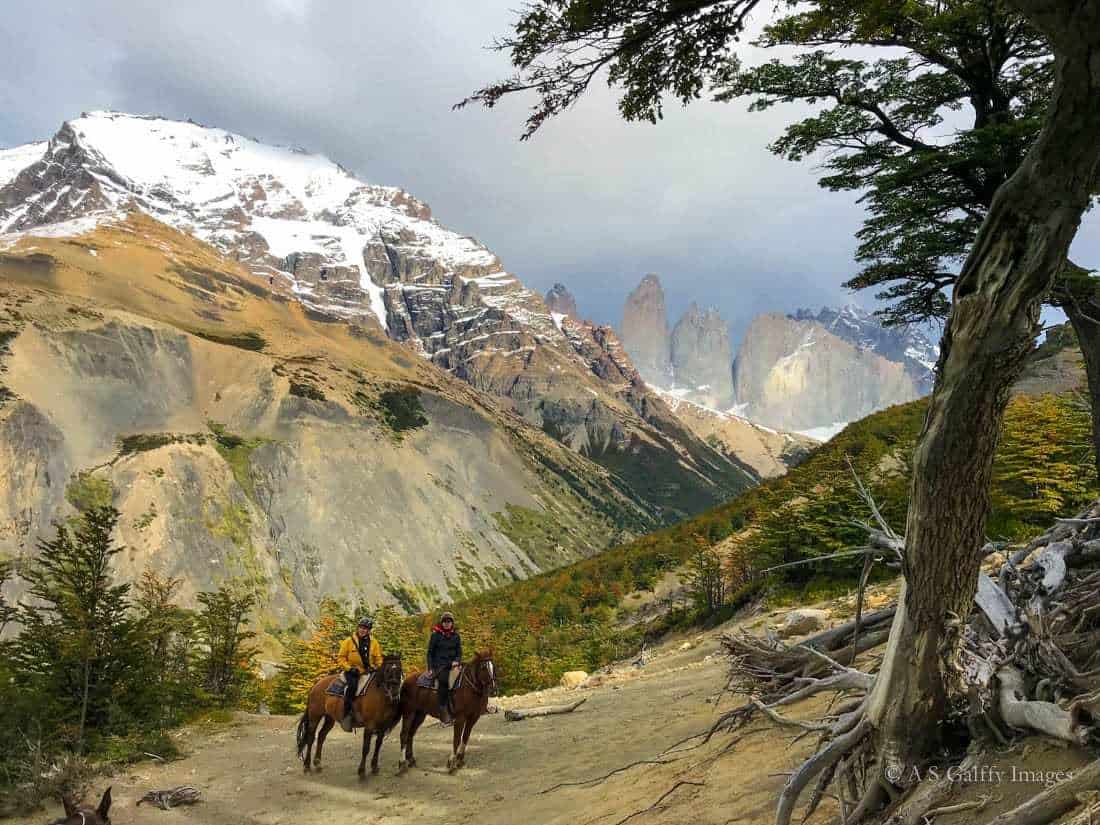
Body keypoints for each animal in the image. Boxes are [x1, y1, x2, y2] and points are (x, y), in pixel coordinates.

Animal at [297, 651, 404, 783]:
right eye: (387, 670)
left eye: (400, 669)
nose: (394, 691)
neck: (380, 695)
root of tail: (316, 685)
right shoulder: (369, 726)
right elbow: (366, 748)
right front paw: (362, 772)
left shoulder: (383, 726)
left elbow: (378, 745)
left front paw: (374, 767)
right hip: (315, 716)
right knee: (311, 737)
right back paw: (307, 766)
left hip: (329, 718)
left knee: (321, 736)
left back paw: (317, 764)